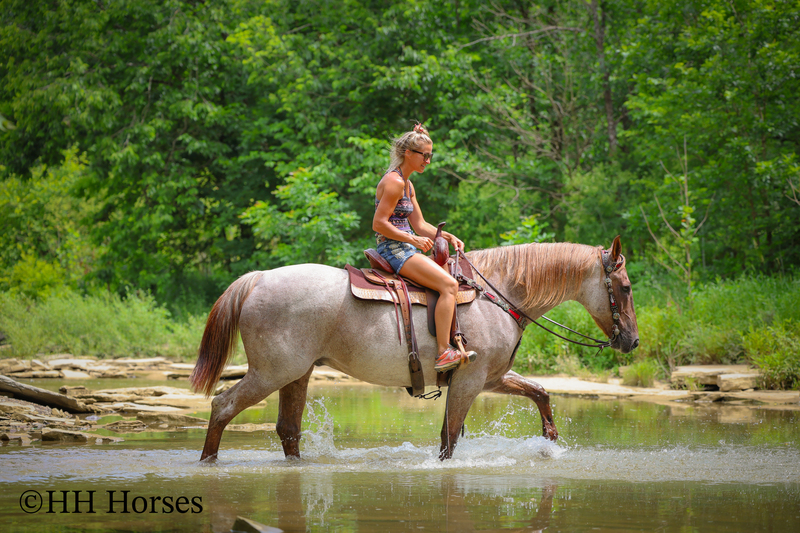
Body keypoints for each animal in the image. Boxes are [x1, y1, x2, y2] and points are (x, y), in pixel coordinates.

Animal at [190, 236, 639, 461]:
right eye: (626, 287)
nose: (632, 340)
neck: (498, 293)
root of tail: (259, 278)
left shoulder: (490, 378)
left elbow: (540, 392)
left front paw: (549, 439)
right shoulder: (470, 381)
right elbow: (450, 438)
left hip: (296, 374)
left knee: (288, 430)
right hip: (271, 373)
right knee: (223, 407)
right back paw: (207, 464)